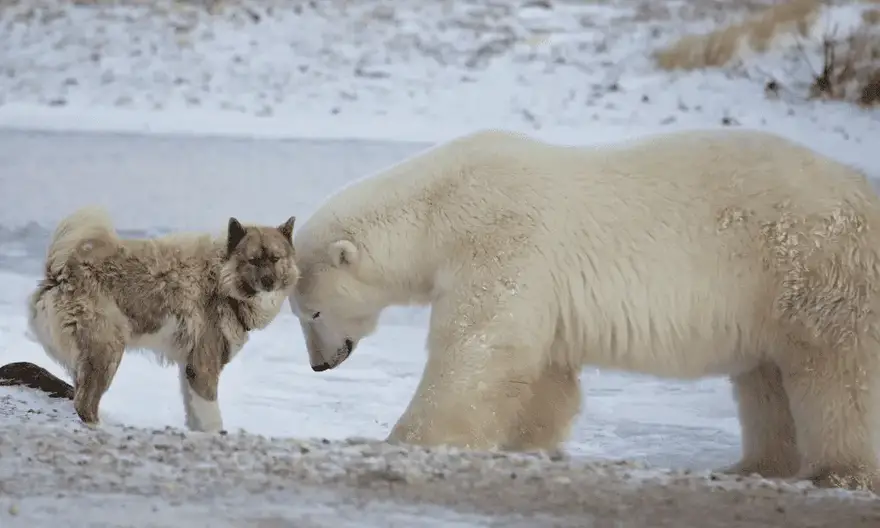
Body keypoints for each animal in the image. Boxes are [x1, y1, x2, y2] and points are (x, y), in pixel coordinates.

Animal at [26, 204, 300, 432]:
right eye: (253, 260)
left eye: (275, 259)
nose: (269, 282)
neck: (221, 279)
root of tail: (62, 272)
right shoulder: (203, 367)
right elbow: (212, 418)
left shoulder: (189, 369)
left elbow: (196, 415)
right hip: (106, 352)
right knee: (85, 403)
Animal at [292, 128, 880, 490]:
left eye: (312, 313)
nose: (319, 365)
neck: (439, 207)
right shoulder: (542, 285)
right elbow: (545, 371)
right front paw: (528, 443)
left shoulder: (502, 237)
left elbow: (479, 347)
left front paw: (408, 438)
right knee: (766, 379)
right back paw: (754, 465)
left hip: (810, 268)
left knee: (833, 372)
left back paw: (836, 471)